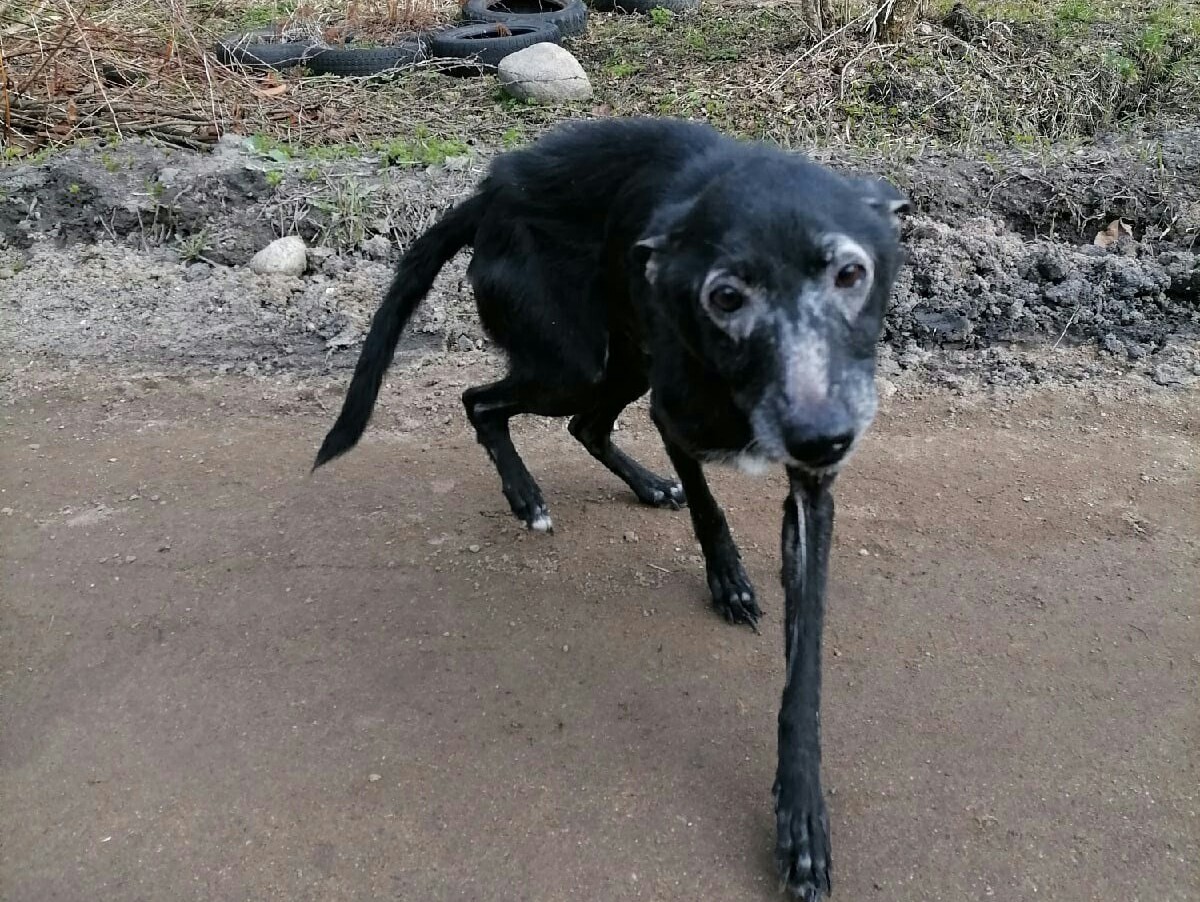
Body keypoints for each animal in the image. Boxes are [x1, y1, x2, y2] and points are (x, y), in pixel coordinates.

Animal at [314, 116, 902, 897]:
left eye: (849, 274)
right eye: (726, 297)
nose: (825, 435)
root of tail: (496, 186)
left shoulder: (811, 495)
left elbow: (802, 677)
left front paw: (801, 818)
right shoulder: (675, 415)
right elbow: (710, 511)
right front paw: (728, 583)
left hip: (617, 360)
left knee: (583, 425)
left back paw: (642, 486)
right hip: (574, 360)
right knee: (482, 402)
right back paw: (526, 496)